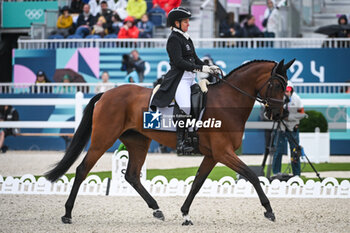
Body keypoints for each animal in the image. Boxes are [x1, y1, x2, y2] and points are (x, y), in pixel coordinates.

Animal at [45, 59, 294, 225]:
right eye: (277, 85)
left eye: (286, 86)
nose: (277, 114)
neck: (228, 101)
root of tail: (106, 94)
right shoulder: (223, 152)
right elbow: (251, 175)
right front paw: (269, 210)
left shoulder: (213, 155)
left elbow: (197, 182)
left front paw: (185, 213)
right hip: (102, 139)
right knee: (82, 170)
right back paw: (67, 214)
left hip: (138, 142)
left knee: (132, 175)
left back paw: (156, 209)